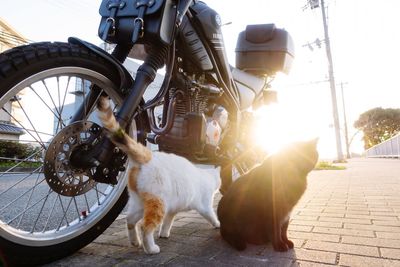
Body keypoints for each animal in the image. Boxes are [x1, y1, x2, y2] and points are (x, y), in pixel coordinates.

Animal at [97, 97, 222, 255]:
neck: (205, 173)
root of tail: (147, 156)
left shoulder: (173, 209)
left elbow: (168, 222)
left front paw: (164, 233)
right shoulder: (204, 205)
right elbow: (211, 215)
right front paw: (217, 224)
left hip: (140, 203)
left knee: (130, 220)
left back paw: (135, 242)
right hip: (158, 202)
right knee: (145, 226)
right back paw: (150, 248)